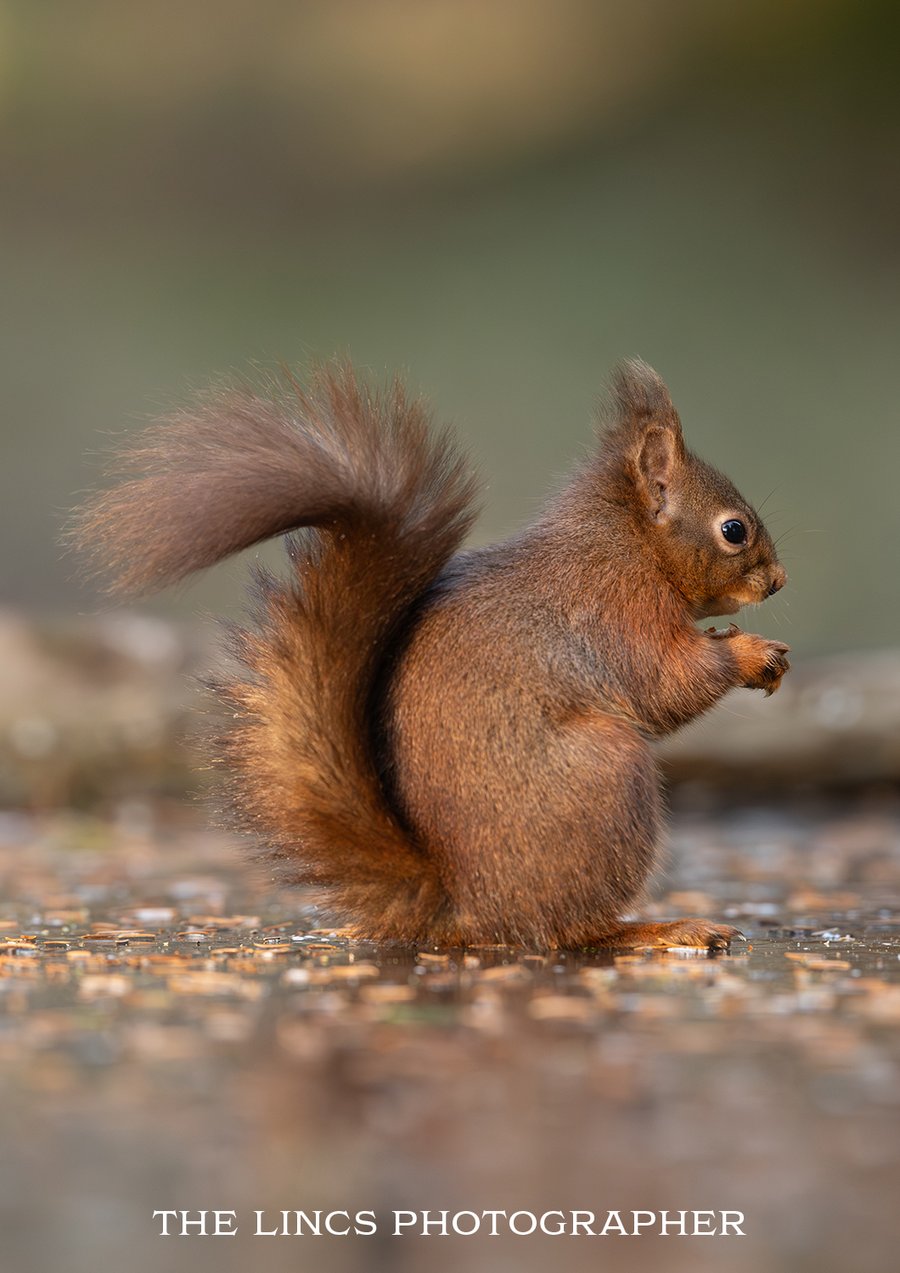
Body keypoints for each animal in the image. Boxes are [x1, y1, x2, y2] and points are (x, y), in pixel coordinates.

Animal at [74, 358, 789, 950]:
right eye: (734, 530)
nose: (779, 581)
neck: (630, 542)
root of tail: (462, 906)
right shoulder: (619, 611)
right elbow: (667, 684)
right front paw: (754, 655)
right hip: (608, 780)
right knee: (566, 931)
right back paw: (657, 930)